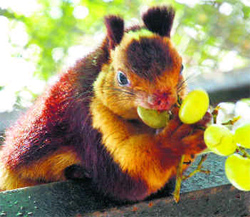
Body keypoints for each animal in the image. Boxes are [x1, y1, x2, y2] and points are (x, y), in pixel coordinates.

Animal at [0, 5, 209, 201]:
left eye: (181, 67)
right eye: (122, 78)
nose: (163, 98)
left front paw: (202, 122)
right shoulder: (86, 117)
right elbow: (125, 178)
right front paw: (173, 140)